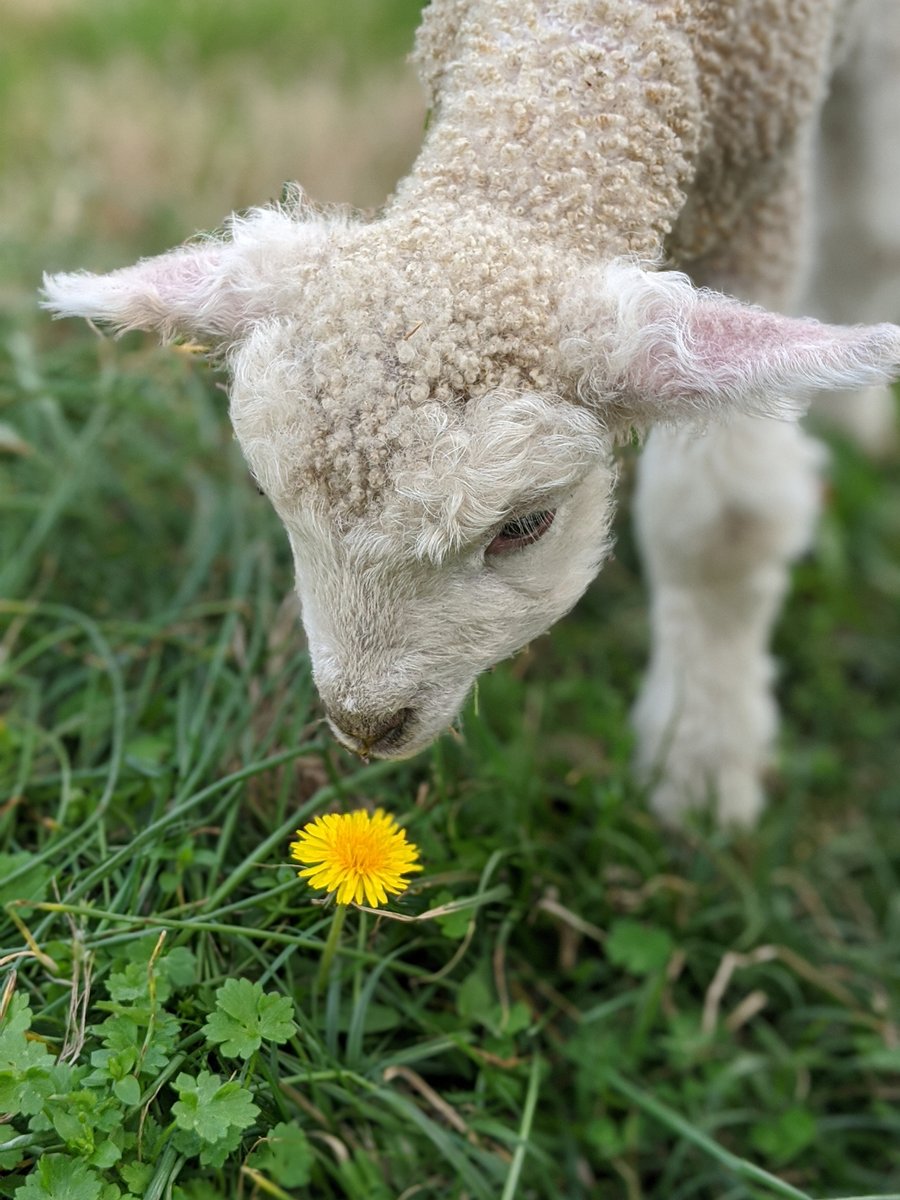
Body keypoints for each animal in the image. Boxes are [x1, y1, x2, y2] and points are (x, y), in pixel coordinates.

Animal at [42, 0, 900, 826]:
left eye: (525, 526)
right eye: (264, 493)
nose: (364, 725)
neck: (585, 45)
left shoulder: (764, 181)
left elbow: (726, 522)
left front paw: (700, 763)